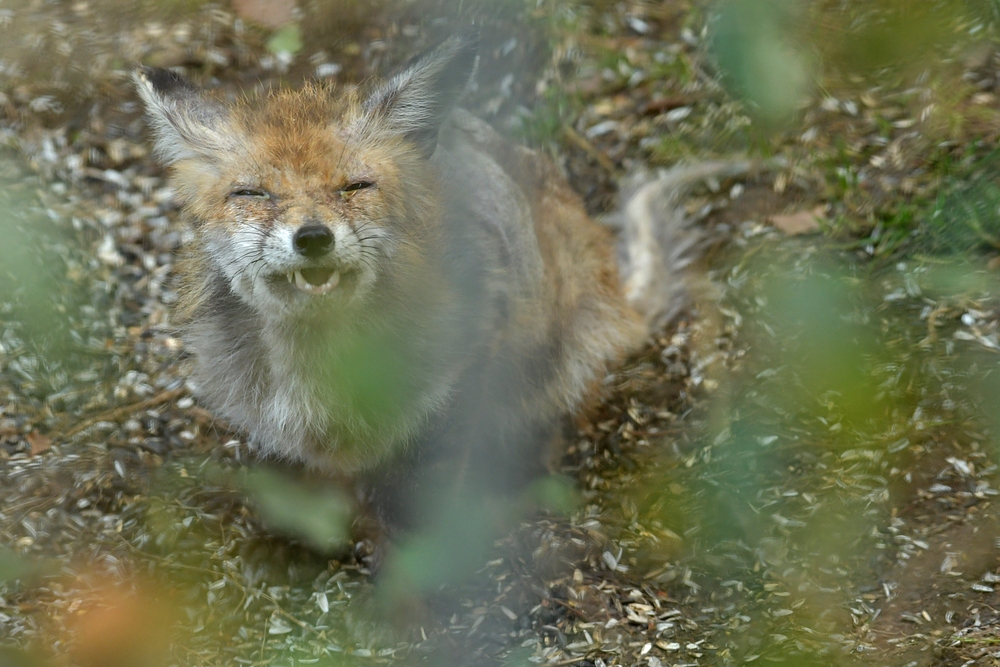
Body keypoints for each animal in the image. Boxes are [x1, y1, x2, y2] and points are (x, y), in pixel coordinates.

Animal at [131, 32, 744, 580]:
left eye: (355, 186)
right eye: (253, 194)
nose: (312, 237)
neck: (324, 374)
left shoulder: (464, 371)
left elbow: (420, 498)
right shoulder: (267, 415)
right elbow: (296, 483)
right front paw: (289, 546)